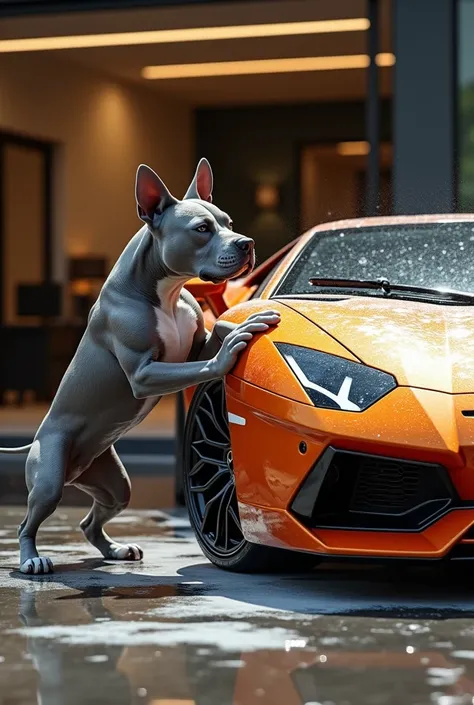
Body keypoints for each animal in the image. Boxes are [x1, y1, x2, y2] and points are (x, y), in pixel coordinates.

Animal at [0, 158, 280, 572]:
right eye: (202, 229)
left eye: (228, 222)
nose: (247, 244)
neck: (166, 291)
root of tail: (38, 439)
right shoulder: (144, 374)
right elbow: (203, 365)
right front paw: (229, 352)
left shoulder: (194, 345)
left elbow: (217, 330)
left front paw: (246, 324)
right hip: (49, 478)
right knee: (26, 522)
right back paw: (32, 558)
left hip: (113, 483)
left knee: (90, 521)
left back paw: (115, 549)